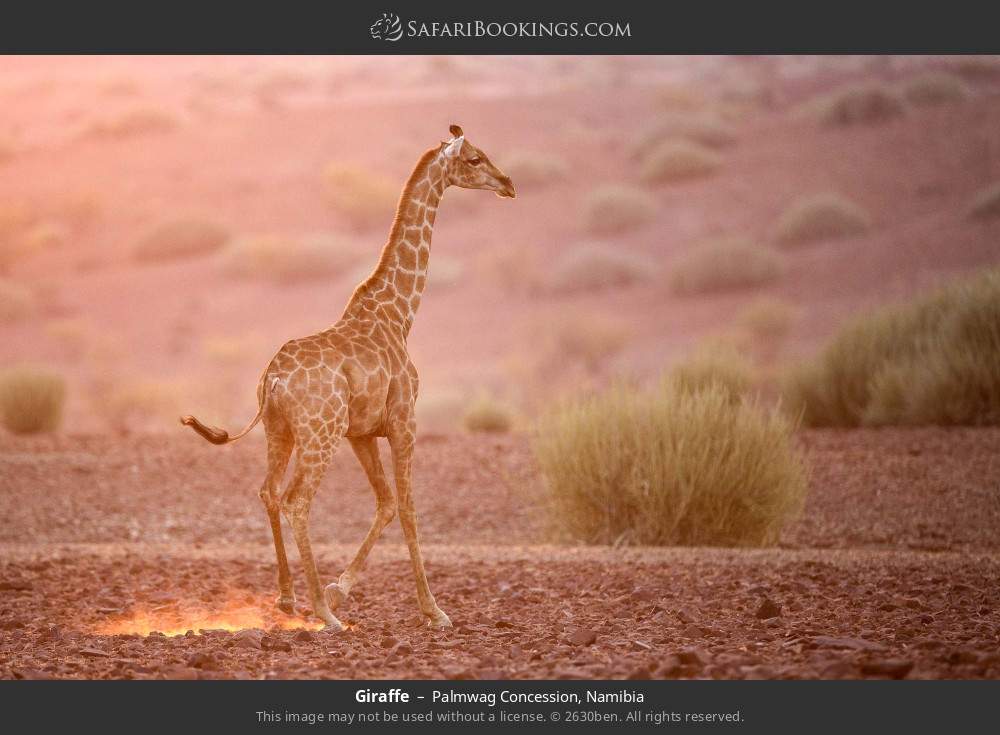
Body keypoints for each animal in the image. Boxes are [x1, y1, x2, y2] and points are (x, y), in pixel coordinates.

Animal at [181, 125, 515, 631]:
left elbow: (387, 502)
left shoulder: (362, 432)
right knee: (298, 501)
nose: (508, 183)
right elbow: (409, 506)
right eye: (475, 159)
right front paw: (434, 610)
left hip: (281, 430)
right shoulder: (403, 420)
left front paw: (342, 589)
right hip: (320, 434)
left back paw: (288, 598)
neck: (400, 315)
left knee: (269, 492)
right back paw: (322, 614)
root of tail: (273, 379)